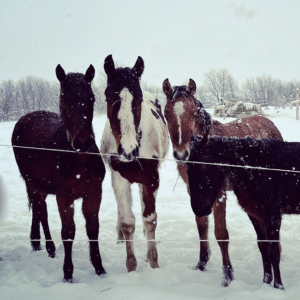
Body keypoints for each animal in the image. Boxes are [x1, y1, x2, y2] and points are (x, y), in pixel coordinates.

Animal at [11, 64, 106, 282]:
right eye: (63, 100)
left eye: (91, 98)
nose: (83, 142)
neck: (79, 161)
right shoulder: (64, 197)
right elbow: (68, 231)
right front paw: (68, 273)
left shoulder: (94, 194)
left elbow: (93, 229)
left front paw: (99, 268)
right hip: (32, 183)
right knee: (42, 212)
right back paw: (49, 247)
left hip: (42, 186)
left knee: (37, 210)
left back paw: (36, 242)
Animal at [101, 54, 169, 272]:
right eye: (109, 98)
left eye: (138, 99)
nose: (128, 150)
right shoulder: (119, 180)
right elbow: (127, 222)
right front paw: (131, 266)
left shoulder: (151, 179)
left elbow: (149, 219)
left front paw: (153, 262)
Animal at [163, 77, 282, 286]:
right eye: (166, 113)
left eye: (193, 114)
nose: (181, 154)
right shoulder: (195, 193)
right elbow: (202, 226)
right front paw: (201, 264)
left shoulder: (218, 195)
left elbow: (221, 234)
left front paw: (228, 275)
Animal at [188, 136, 300, 290]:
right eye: (187, 168)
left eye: (203, 166)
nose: (199, 209)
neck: (254, 169)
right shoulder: (255, 216)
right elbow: (263, 247)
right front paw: (265, 281)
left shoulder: (272, 217)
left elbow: (274, 252)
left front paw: (279, 287)